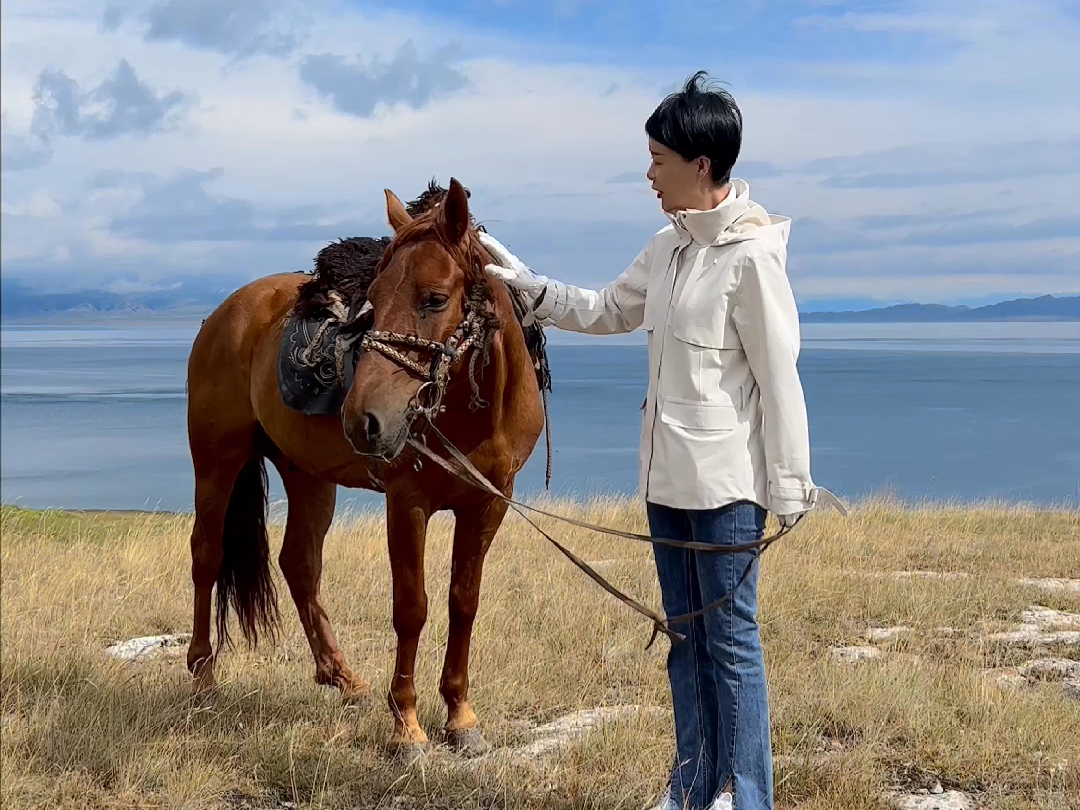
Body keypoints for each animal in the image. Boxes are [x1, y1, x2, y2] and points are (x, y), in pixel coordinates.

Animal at [184, 180, 544, 760]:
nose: (363, 418)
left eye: (435, 298)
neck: (472, 412)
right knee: (207, 556)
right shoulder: (408, 502)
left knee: (299, 564)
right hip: (217, 459)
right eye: (374, 295)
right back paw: (203, 678)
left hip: (307, 475)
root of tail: (226, 312)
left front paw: (460, 717)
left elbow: (463, 603)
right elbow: (412, 608)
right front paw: (407, 728)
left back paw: (344, 678)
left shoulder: (488, 504)